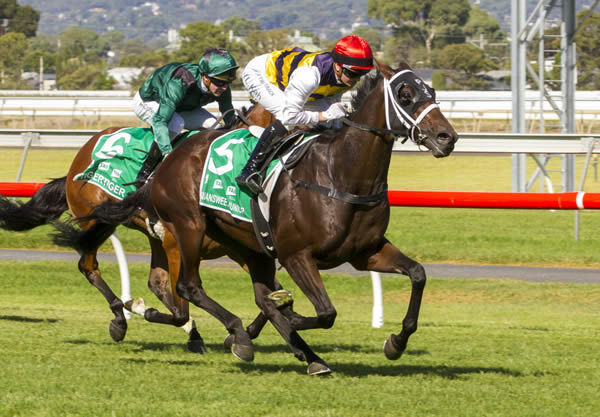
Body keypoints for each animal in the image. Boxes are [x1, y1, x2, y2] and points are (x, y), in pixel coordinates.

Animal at [0, 105, 274, 358]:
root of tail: (79, 157)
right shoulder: (177, 247)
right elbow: (182, 303)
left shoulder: (238, 250)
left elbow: (270, 293)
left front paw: (248, 332)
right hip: (96, 220)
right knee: (89, 267)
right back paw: (120, 319)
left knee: (156, 283)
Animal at [77, 61, 458, 374]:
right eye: (405, 94)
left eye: (433, 92)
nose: (447, 137)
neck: (340, 175)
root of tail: (172, 157)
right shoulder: (295, 255)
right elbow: (323, 313)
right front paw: (276, 321)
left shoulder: (366, 252)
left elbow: (418, 274)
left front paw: (395, 343)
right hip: (187, 226)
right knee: (186, 285)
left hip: (243, 243)